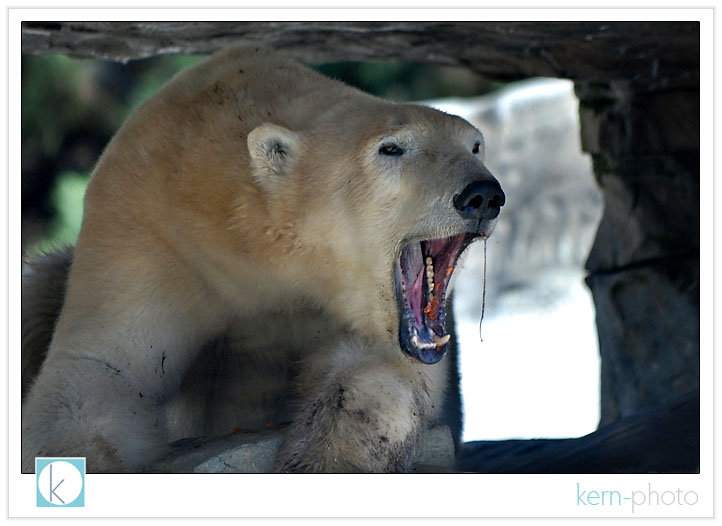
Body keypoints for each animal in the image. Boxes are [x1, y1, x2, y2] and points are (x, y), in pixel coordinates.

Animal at [19, 46, 500, 474]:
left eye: (475, 145)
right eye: (392, 149)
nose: (482, 195)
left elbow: (374, 371)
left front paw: (317, 460)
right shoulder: (146, 229)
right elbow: (99, 369)